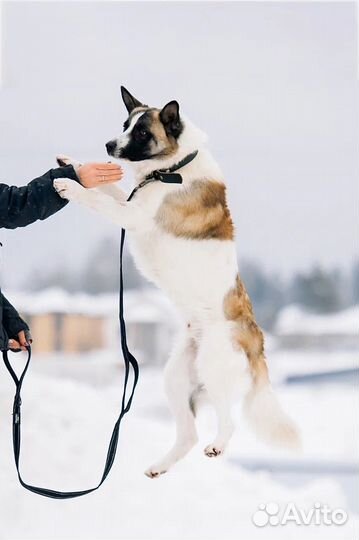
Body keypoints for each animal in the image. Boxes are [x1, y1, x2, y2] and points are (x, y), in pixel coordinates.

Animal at [54, 86, 300, 478]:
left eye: (142, 132)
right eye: (124, 125)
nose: (109, 145)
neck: (170, 169)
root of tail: (257, 340)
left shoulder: (132, 215)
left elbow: (96, 199)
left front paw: (67, 185)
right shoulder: (130, 200)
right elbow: (110, 189)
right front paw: (75, 166)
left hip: (215, 369)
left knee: (228, 422)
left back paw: (217, 445)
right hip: (175, 379)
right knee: (187, 435)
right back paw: (159, 466)